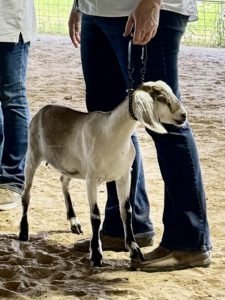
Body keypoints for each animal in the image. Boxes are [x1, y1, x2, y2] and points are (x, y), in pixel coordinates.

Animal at [18, 80, 186, 268]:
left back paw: (74, 222)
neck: (111, 134)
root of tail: (43, 109)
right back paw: (23, 232)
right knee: (26, 194)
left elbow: (126, 211)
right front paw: (96, 255)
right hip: (33, 155)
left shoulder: (124, 176)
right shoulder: (92, 179)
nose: (183, 116)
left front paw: (134, 249)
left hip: (71, 165)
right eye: (162, 98)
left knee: (63, 181)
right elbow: (96, 216)